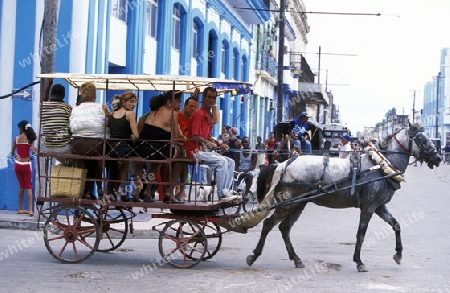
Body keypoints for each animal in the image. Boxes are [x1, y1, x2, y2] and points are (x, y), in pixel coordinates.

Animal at [246, 122, 440, 270]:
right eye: (422, 139)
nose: (437, 158)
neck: (380, 165)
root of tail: (283, 164)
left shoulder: (379, 206)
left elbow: (397, 225)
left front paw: (398, 254)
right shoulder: (368, 207)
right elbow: (361, 234)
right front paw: (359, 262)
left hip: (299, 204)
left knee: (284, 228)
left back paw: (296, 258)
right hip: (288, 203)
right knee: (268, 224)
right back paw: (254, 255)